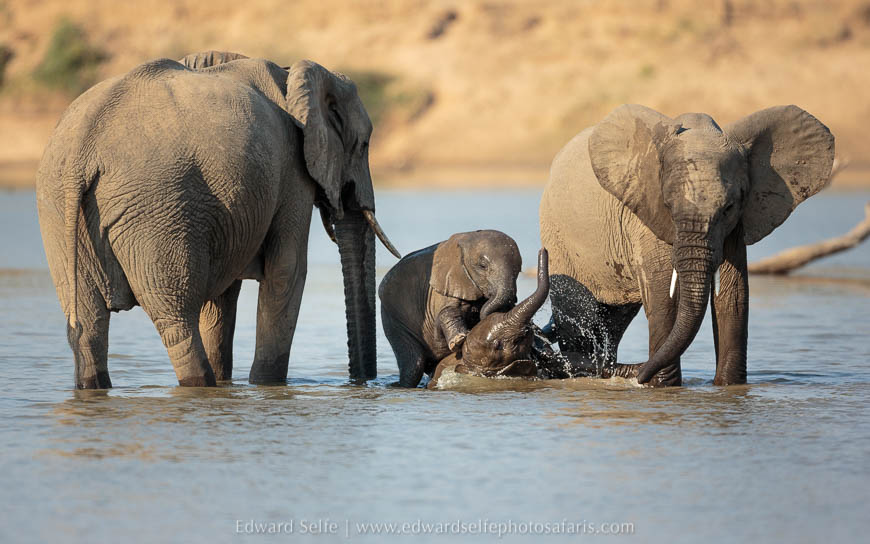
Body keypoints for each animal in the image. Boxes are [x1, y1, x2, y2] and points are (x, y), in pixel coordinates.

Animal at [36, 51, 400, 389]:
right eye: (364, 144)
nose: (362, 382)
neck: (292, 75)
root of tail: (82, 150)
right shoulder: (292, 169)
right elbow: (287, 271)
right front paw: (266, 385)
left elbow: (222, 298)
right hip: (154, 208)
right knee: (177, 319)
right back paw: (201, 383)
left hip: (59, 210)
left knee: (88, 322)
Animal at [379, 230, 523, 387]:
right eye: (483, 266)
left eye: (519, 270)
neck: (467, 239)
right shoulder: (444, 287)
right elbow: (446, 311)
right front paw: (459, 341)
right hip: (393, 320)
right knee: (413, 368)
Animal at [539, 104, 834, 386]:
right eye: (669, 206)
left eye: (728, 208)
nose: (639, 374)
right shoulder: (646, 215)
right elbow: (665, 298)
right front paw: (663, 386)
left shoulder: (738, 223)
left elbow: (733, 297)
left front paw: (728, 386)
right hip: (558, 238)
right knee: (577, 318)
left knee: (612, 322)